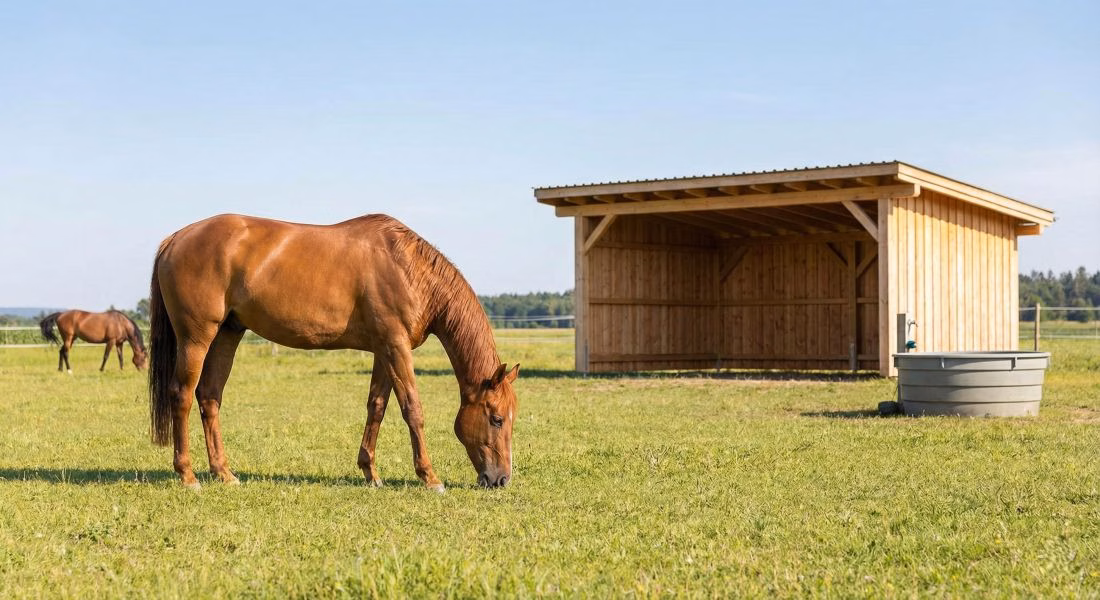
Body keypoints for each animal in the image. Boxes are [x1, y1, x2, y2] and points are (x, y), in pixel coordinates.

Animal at [149, 213, 519, 492]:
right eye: (497, 418)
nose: (500, 479)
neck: (407, 269)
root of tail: (175, 239)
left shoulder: (384, 350)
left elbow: (377, 407)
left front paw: (370, 473)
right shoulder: (396, 347)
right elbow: (412, 409)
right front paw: (430, 477)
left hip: (227, 334)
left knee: (210, 397)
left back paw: (224, 473)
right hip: (196, 338)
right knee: (182, 395)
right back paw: (188, 476)